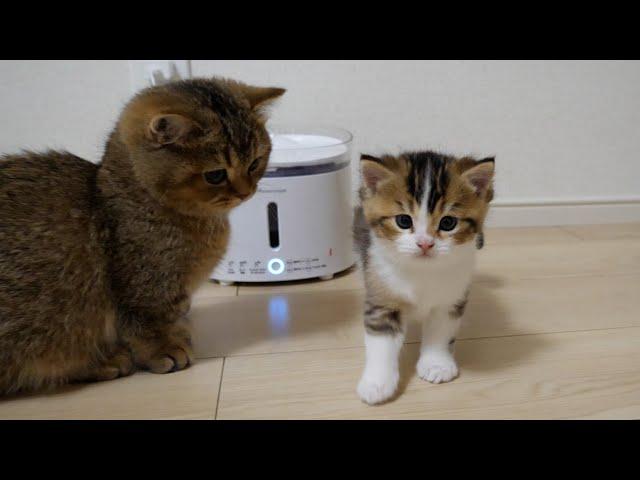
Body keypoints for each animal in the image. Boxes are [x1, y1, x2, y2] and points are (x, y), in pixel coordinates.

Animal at [0, 78, 284, 394]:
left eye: (255, 163)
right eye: (215, 175)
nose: (247, 192)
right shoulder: (145, 289)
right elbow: (147, 326)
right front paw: (164, 350)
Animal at [356, 151, 496, 404]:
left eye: (448, 222)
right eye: (403, 220)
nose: (425, 243)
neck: (422, 271)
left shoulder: (450, 299)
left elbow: (440, 332)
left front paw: (436, 364)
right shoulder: (382, 296)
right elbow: (381, 341)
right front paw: (377, 383)